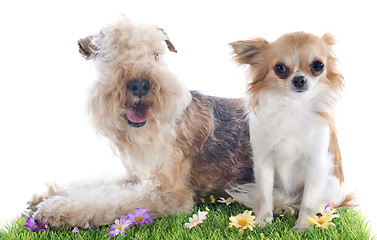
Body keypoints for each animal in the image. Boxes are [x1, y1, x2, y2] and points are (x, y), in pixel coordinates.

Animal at [27, 17, 254, 229]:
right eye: (109, 57)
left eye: (155, 55)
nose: (140, 84)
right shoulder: (136, 176)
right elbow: (97, 185)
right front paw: (45, 195)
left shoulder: (167, 192)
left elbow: (108, 199)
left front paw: (55, 209)